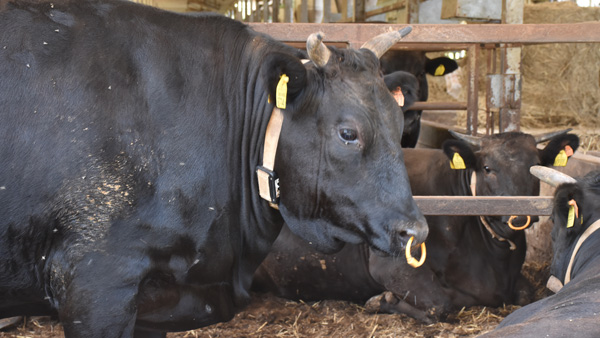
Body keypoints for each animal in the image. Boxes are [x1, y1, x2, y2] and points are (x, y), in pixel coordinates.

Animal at [254, 129, 580, 322]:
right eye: (488, 168)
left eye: (536, 167)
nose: (519, 215)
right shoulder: (391, 265)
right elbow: (441, 305)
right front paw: (381, 300)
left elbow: (527, 293)